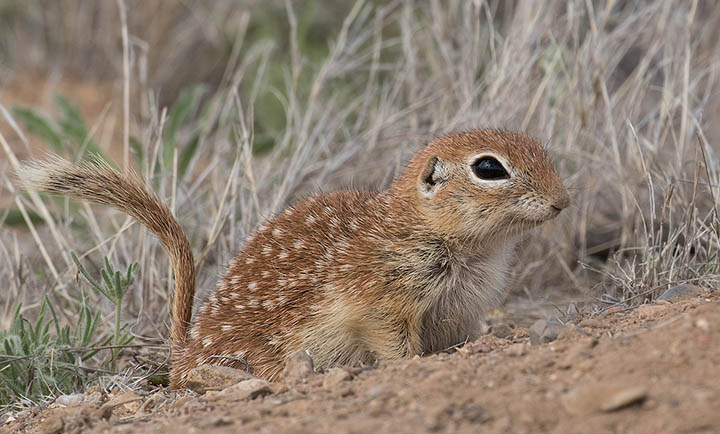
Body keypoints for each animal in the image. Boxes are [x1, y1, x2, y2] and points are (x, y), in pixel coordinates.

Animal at [16, 128, 572, 386]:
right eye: (489, 168)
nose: (562, 201)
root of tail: (184, 350)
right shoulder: (383, 295)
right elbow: (392, 341)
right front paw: (411, 366)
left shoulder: (461, 311)